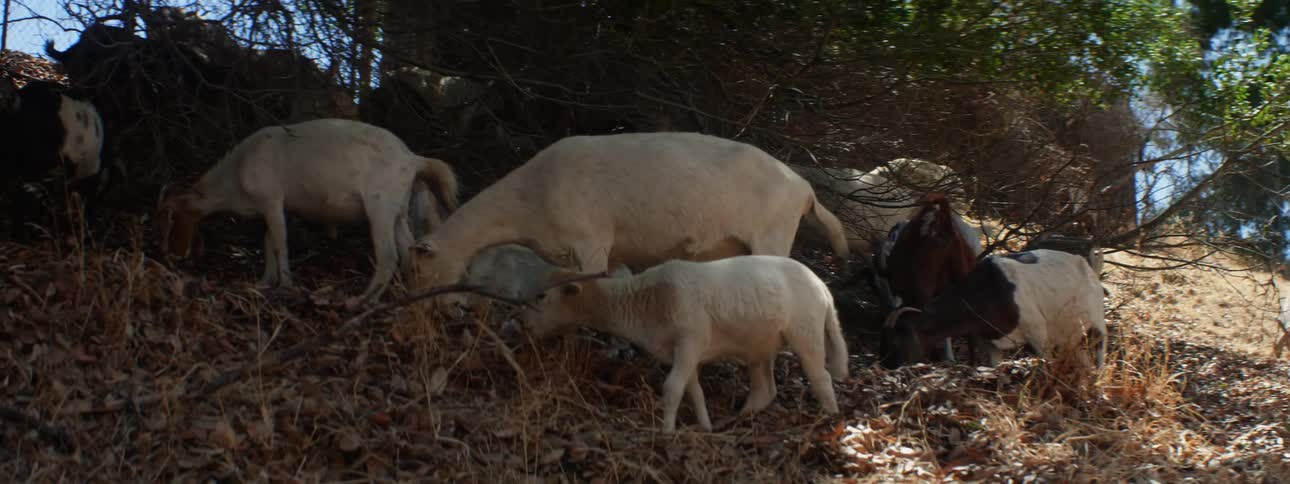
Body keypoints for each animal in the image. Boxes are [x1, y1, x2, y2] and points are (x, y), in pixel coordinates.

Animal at [159, 118, 459, 305]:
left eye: (173, 216)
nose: (173, 254)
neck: (235, 177)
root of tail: (414, 159)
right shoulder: (275, 206)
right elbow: (268, 240)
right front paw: (264, 281)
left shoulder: (271, 200)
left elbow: (279, 241)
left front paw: (285, 285)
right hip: (398, 209)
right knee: (408, 248)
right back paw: (407, 294)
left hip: (380, 206)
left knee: (388, 256)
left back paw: (363, 300)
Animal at [413, 132, 851, 311]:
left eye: (419, 264)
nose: (432, 311)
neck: (527, 201)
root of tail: (805, 189)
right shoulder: (606, 255)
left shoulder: (589, 242)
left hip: (772, 236)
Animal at [521, 255, 849, 433]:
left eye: (542, 297)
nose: (525, 326)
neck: (646, 300)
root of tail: (823, 288)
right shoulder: (685, 352)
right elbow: (694, 391)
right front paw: (705, 426)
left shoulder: (690, 340)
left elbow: (672, 388)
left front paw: (667, 431)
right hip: (760, 345)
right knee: (764, 390)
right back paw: (736, 421)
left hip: (806, 332)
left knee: (821, 378)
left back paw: (830, 418)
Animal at [879, 249, 1108, 369]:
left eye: (897, 341)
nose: (888, 366)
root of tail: (1089, 267)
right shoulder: (990, 342)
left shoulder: (1037, 332)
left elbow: (1046, 360)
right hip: (1074, 338)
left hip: (1096, 323)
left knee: (1100, 350)